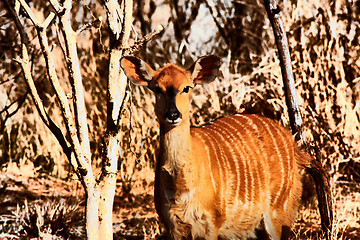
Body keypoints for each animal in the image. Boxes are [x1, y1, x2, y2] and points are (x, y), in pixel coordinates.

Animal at [120, 55, 310, 239]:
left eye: (187, 88)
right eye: (157, 89)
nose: (173, 115)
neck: (180, 189)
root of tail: (294, 144)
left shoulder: (211, 222)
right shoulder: (172, 225)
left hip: (279, 212)